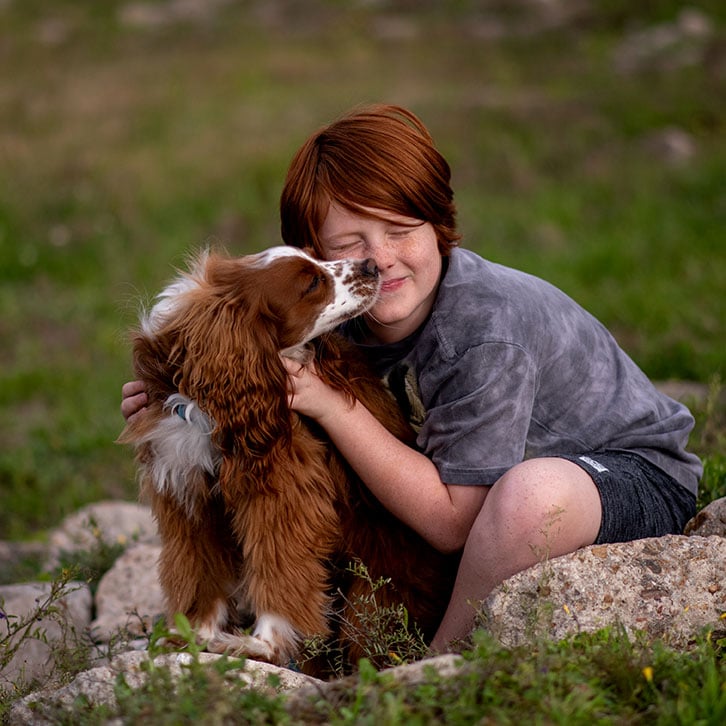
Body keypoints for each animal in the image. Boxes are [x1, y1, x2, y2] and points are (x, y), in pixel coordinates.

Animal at [121, 249, 458, 676]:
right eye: (311, 282)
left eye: (317, 258)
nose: (370, 265)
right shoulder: (187, 492)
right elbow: (201, 572)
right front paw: (192, 635)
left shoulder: (283, 492)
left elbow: (279, 566)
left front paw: (262, 646)